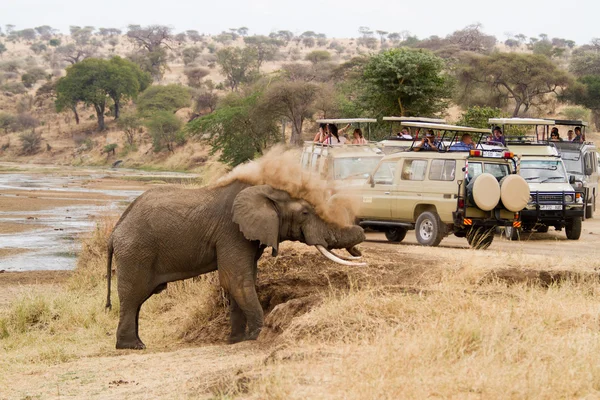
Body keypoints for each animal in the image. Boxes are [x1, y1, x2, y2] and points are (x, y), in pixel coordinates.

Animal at [105, 180, 364, 348]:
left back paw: (135, 343)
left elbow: (242, 280)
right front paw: (256, 335)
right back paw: (132, 346)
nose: (359, 249)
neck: (263, 190)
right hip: (136, 252)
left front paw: (238, 339)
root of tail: (115, 230)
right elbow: (237, 280)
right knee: (133, 295)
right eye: (305, 213)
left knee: (137, 300)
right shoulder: (232, 232)